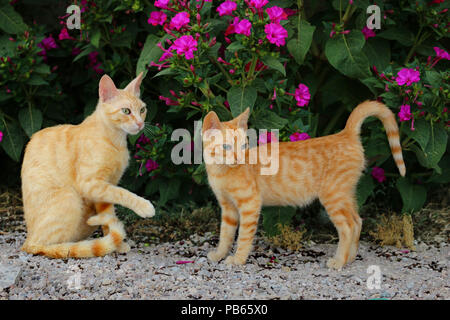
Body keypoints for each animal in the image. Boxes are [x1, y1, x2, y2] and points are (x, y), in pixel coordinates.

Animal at [20, 72, 155, 258]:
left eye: (142, 110)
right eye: (126, 111)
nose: (141, 123)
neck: (115, 140)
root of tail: (27, 239)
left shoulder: (105, 188)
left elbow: (109, 216)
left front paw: (116, 244)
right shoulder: (91, 183)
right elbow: (123, 193)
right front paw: (144, 206)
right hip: (69, 196)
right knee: (42, 246)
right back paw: (69, 248)